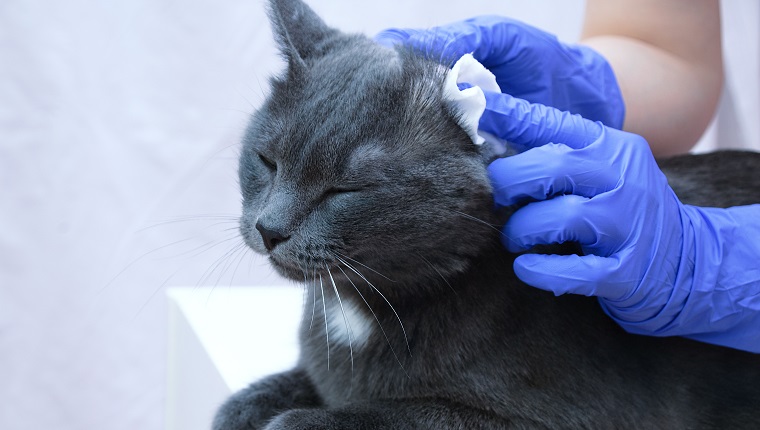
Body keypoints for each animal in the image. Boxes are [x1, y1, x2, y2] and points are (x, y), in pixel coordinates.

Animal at [212, 0, 760, 430]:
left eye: (345, 189)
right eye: (267, 160)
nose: (270, 228)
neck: (357, 307)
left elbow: (386, 415)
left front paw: (297, 419)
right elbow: (261, 395)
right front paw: (246, 407)